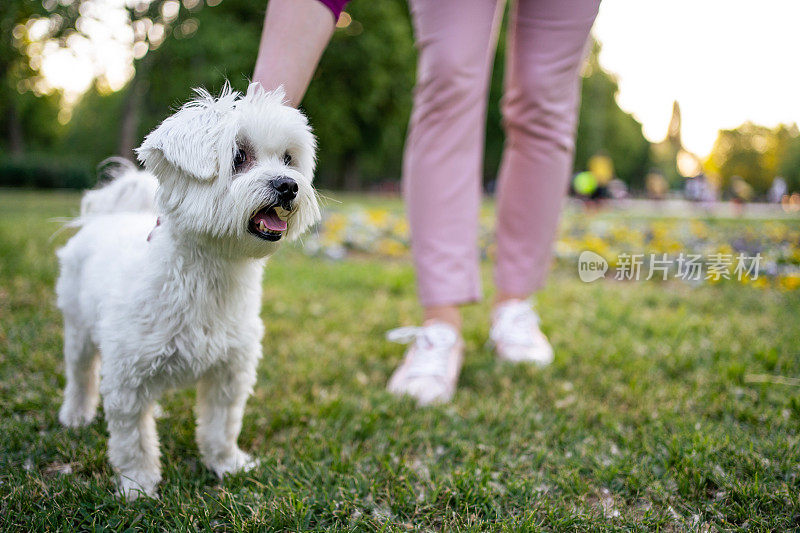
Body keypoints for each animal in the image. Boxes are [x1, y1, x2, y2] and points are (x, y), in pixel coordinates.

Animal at [55, 83, 322, 498]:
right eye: (239, 156)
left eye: (288, 159)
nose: (289, 185)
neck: (210, 275)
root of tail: (108, 216)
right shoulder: (127, 377)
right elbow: (134, 440)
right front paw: (139, 486)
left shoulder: (229, 373)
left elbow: (220, 427)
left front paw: (227, 465)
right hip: (79, 328)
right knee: (81, 373)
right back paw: (76, 414)